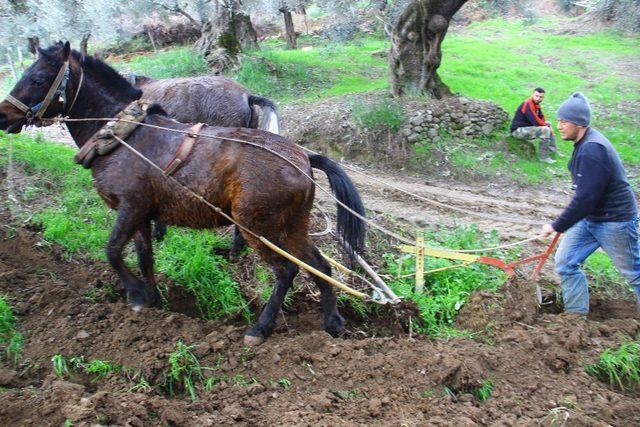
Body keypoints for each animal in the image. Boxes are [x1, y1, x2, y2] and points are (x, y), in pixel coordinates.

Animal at [1, 42, 364, 344]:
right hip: (291, 227)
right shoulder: (141, 214)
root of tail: (303, 156)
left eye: (38, 78)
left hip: (259, 227)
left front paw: (136, 296)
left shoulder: (129, 207)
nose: (4, 115)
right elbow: (144, 258)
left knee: (287, 271)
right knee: (321, 266)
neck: (122, 136)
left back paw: (260, 328)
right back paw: (332, 322)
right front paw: (155, 301)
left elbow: (112, 251)